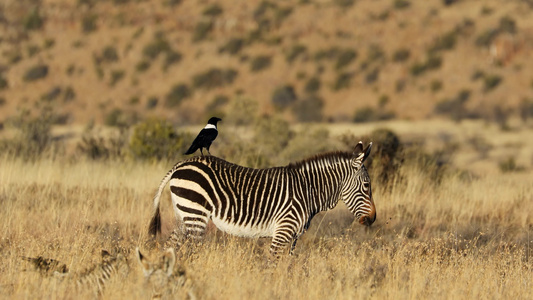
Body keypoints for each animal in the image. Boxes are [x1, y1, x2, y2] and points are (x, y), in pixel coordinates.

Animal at [148, 141, 376, 255]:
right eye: (367, 186)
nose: (373, 219)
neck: (307, 191)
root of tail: (181, 164)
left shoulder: (293, 236)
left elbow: (288, 267)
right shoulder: (283, 230)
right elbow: (272, 267)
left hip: (184, 216)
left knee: (171, 247)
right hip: (195, 215)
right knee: (190, 251)